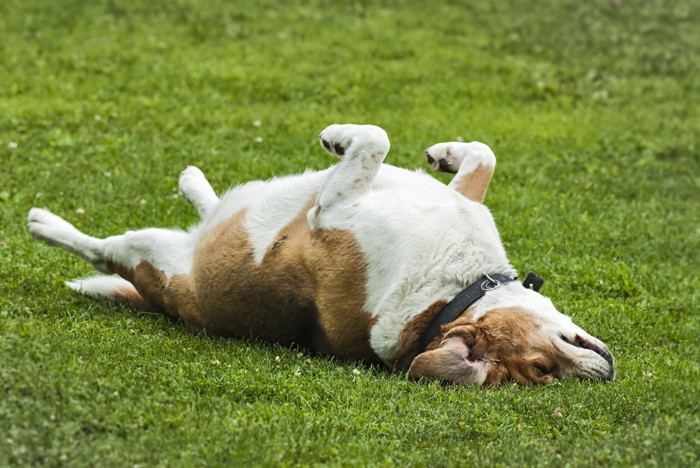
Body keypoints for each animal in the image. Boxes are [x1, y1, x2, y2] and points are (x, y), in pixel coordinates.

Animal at [28, 122, 612, 386]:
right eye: (543, 366)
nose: (601, 376)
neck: (449, 293)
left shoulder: (329, 212)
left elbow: (374, 141)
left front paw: (338, 137)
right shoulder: (459, 200)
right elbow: (480, 156)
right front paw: (443, 153)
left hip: (149, 253)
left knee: (100, 251)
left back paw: (45, 224)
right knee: (218, 209)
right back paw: (196, 182)